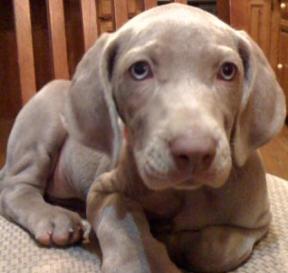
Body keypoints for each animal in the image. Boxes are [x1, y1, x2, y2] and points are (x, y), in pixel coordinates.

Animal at [0, 3, 286, 272]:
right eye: (139, 70)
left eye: (228, 70)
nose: (195, 153)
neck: (187, 193)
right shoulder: (103, 189)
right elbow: (123, 224)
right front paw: (143, 259)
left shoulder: (258, 224)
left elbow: (217, 250)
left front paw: (177, 241)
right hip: (45, 115)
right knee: (14, 186)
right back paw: (53, 219)